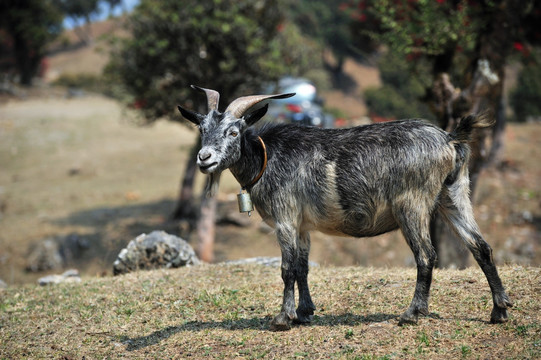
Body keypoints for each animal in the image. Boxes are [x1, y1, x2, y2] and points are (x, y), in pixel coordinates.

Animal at [179, 86, 512, 330]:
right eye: (202, 129)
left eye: (234, 132)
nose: (204, 158)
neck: (267, 156)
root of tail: (449, 139)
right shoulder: (302, 225)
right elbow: (302, 267)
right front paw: (305, 312)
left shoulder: (285, 218)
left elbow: (287, 269)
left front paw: (283, 318)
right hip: (454, 195)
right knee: (480, 246)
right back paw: (499, 310)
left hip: (412, 203)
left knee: (427, 255)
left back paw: (413, 313)